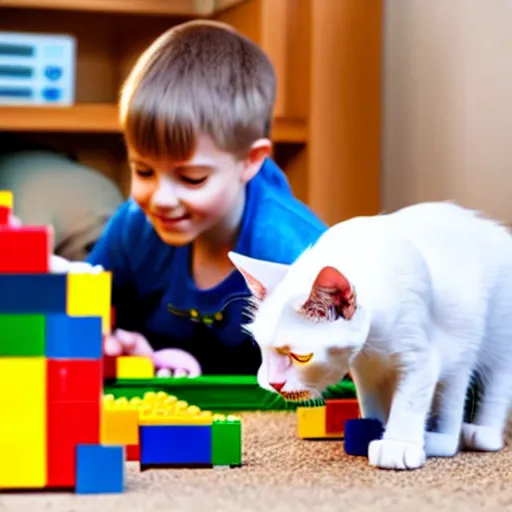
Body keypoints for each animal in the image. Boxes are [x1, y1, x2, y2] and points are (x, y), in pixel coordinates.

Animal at [230, 202, 512, 470]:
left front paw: (398, 444)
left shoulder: (421, 356)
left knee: (491, 385)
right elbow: (373, 402)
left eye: (302, 357)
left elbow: (408, 402)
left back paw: (471, 435)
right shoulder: (366, 368)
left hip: (493, 335)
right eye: (262, 349)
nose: (274, 383)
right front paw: (374, 430)